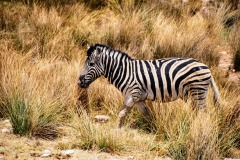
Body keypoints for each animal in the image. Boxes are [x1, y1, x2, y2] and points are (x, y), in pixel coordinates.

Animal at [78, 43, 220, 129]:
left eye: (91, 64)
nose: (79, 82)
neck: (125, 71)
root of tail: (206, 67)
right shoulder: (139, 98)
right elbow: (147, 115)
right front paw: (155, 128)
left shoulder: (133, 94)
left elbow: (122, 113)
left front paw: (116, 130)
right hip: (191, 95)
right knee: (197, 113)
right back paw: (194, 126)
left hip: (198, 91)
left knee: (204, 114)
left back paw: (201, 129)